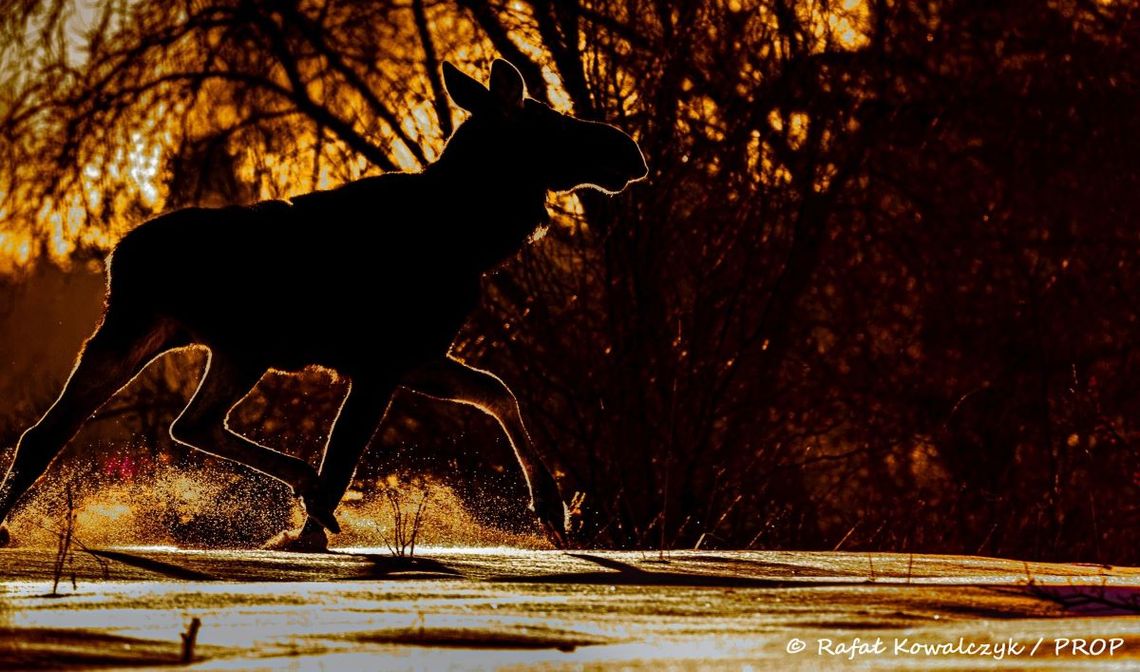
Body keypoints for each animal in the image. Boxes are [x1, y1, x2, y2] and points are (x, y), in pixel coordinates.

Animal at [0, 59, 647, 549]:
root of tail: (118, 255)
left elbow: (497, 391)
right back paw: (304, 489)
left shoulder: (416, 356)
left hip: (183, 341)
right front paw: (304, 534)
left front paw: (553, 511)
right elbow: (346, 455)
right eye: (553, 123)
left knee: (110, 427)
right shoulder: (385, 361)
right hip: (200, 341)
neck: (476, 236)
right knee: (133, 425)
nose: (630, 151)